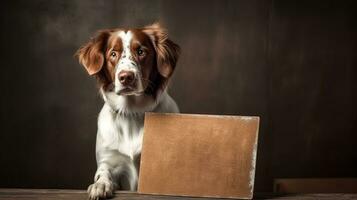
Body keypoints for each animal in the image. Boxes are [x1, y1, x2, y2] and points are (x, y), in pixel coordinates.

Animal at [76, 23, 179, 198]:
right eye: (113, 54)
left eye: (141, 51)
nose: (126, 77)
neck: (132, 112)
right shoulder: (109, 160)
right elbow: (103, 172)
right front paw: (100, 185)